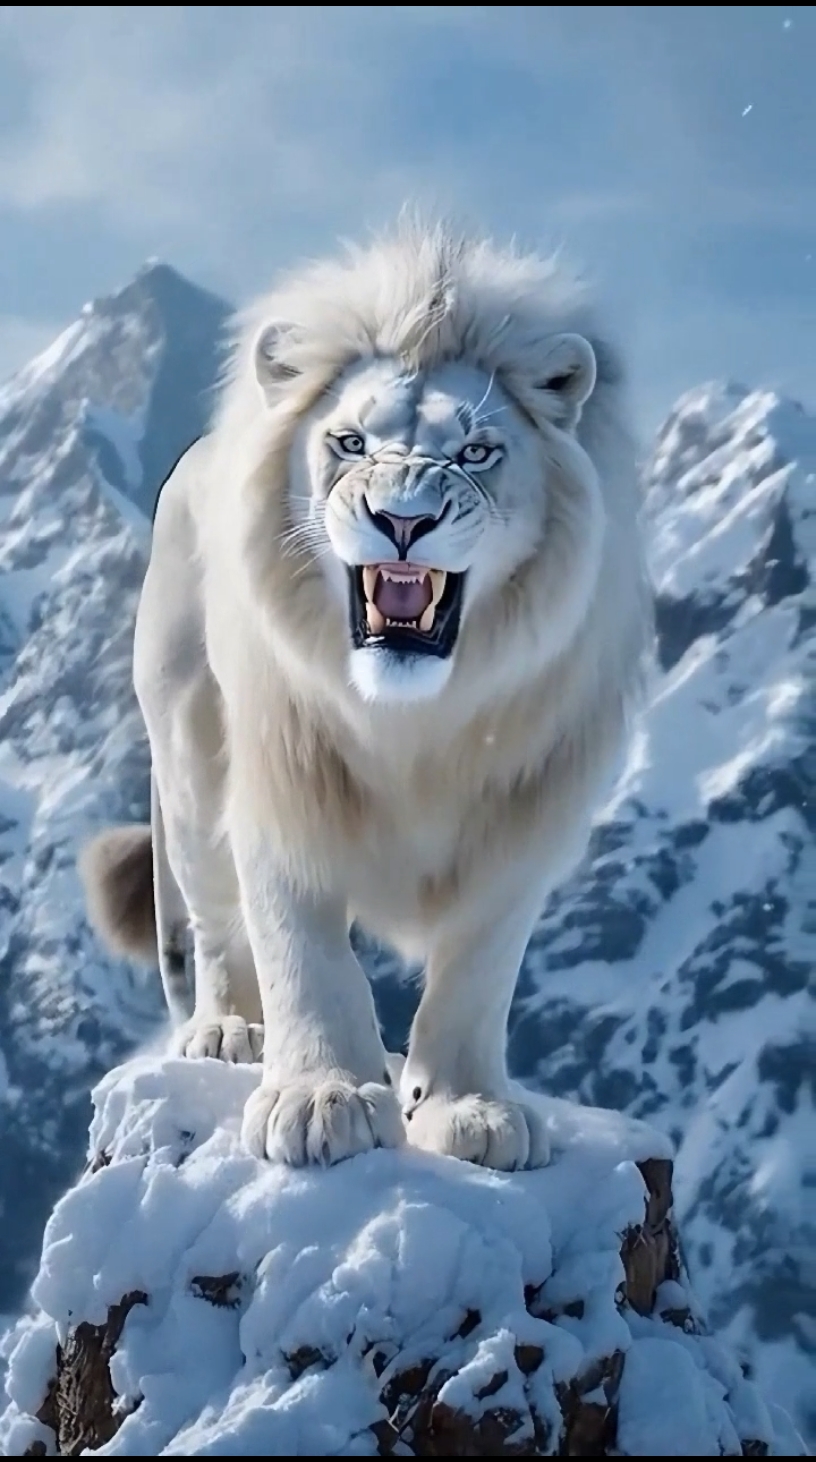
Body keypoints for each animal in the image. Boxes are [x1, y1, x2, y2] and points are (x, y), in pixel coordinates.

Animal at [80, 217, 651, 1172]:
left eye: (475, 451)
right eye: (349, 443)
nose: (404, 519)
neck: (414, 720)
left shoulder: (527, 811)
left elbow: (479, 970)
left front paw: (470, 1110)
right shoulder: (281, 782)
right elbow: (303, 950)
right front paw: (322, 1099)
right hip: (189, 756)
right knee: (213, 919)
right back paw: (228, 1032)